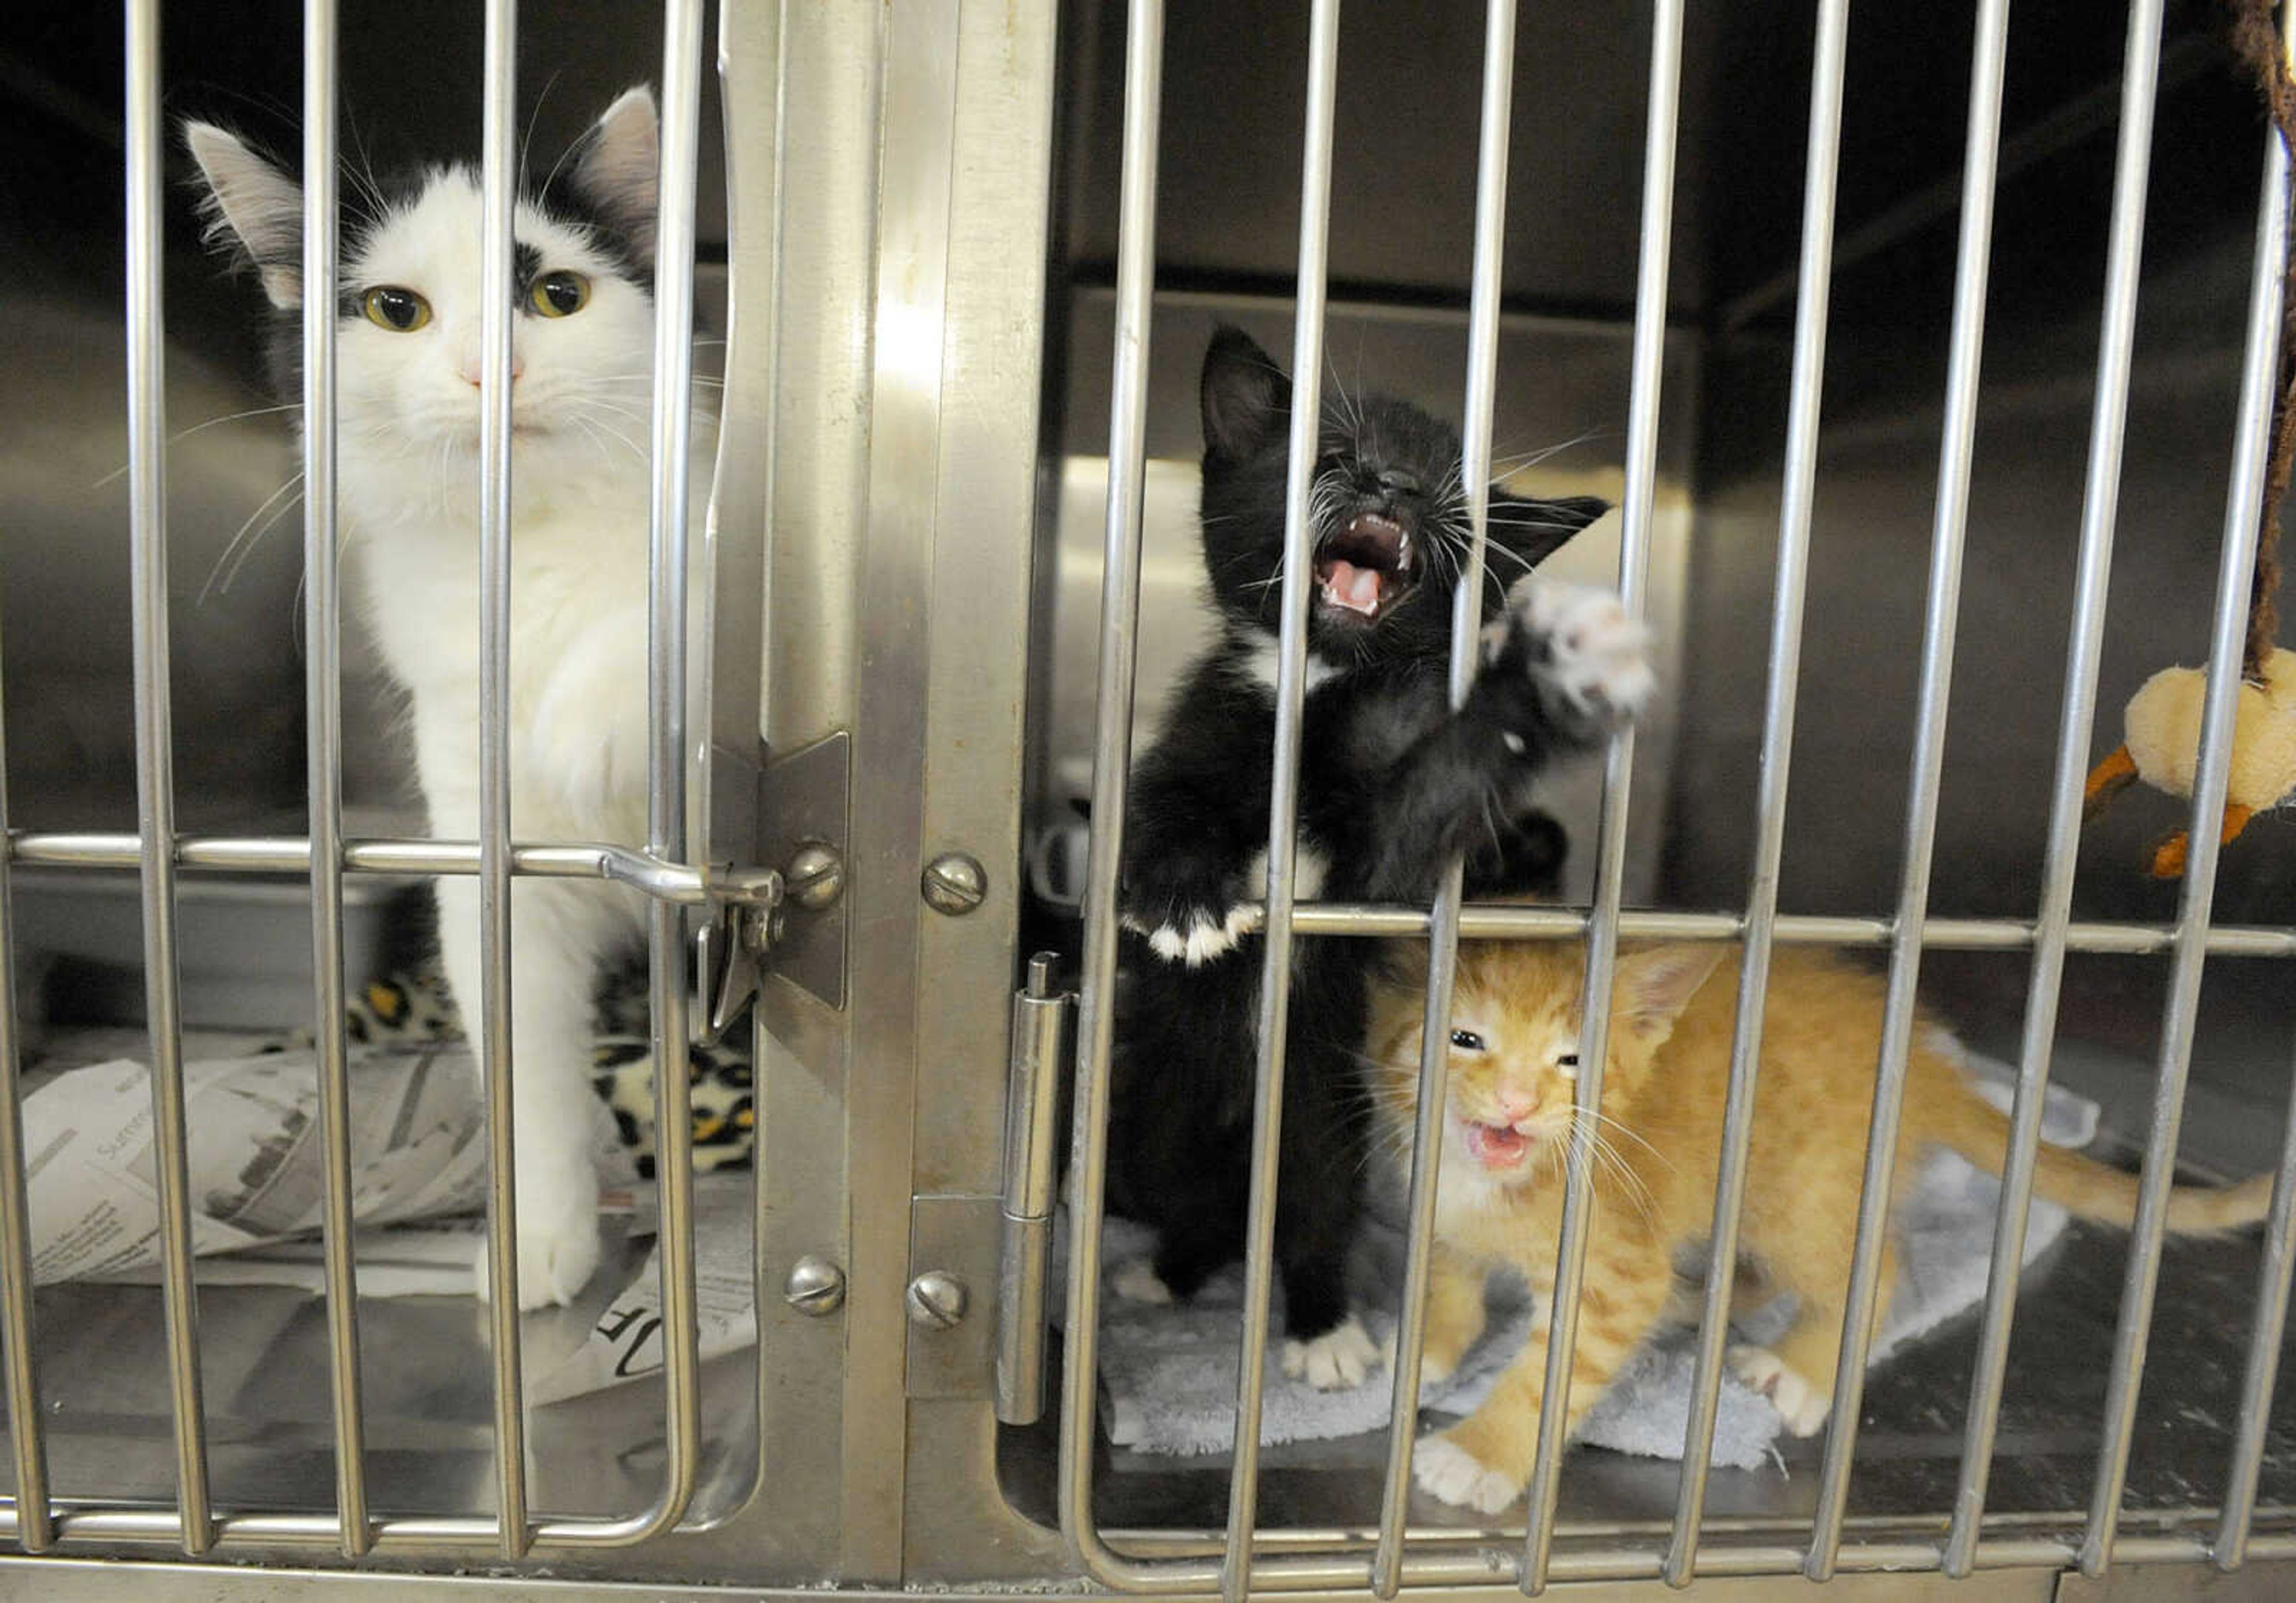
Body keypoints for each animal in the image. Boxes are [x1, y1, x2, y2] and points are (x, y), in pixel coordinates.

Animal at [186, 87, 707, 1304]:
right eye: (395, 310)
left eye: (556, 293)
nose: (488, 371)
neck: (527, 549)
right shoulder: (492, 852)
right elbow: (522, 1062)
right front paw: (541, 1236)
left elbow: (684, 614)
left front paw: (584, 721)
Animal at [1097, 328, 1653, 1387]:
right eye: (1332, 451)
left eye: (1446, 487)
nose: (1392, 483)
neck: (1320, 687)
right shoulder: (1199, 730)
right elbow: (1163, 810)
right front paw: (1185, 897)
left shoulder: (1381, 870)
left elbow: (1429, 799)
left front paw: (1544, 679)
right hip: (1147, 1118)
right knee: (1191, 1202)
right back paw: (1167, 1271)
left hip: (1321, 1119)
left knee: (1307, 1209)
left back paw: (1323, 1327)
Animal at [1368, 937, 2268, 1506]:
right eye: (1465, 1037)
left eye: (1572, 1060)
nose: (1517, 1103)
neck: (1498, 1181)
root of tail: (1924, 1064)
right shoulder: (1436, 1200)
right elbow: (1448, 1271)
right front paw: (1425, 1345)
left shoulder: (1613, 1260)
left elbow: (1559, 1364)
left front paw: (1480, 1454)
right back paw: (1702, 1301)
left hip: (1803, 1191)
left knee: (1875, 1271)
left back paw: (1801, 1368)